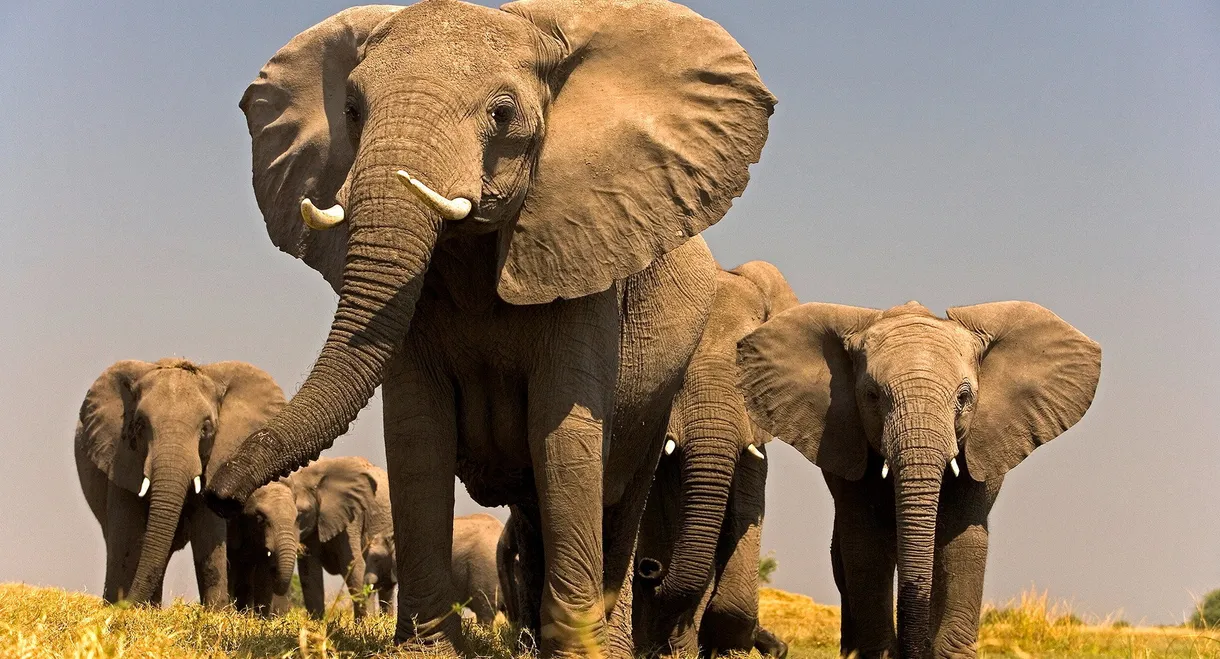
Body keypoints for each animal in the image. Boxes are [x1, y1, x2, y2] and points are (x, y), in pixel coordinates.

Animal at [74, 358, 284, 607]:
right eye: (139, 425)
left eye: (206, 428)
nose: (127, 603)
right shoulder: (121, 458)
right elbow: (126, 536)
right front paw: (118, 609)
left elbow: (208, 532)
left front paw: (215, 612)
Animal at [287, 456, 392, 620]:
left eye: (300, 513)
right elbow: (310, 573)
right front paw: (316, 624)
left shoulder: (351, 516)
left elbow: (354, 565)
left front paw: (366, 623)